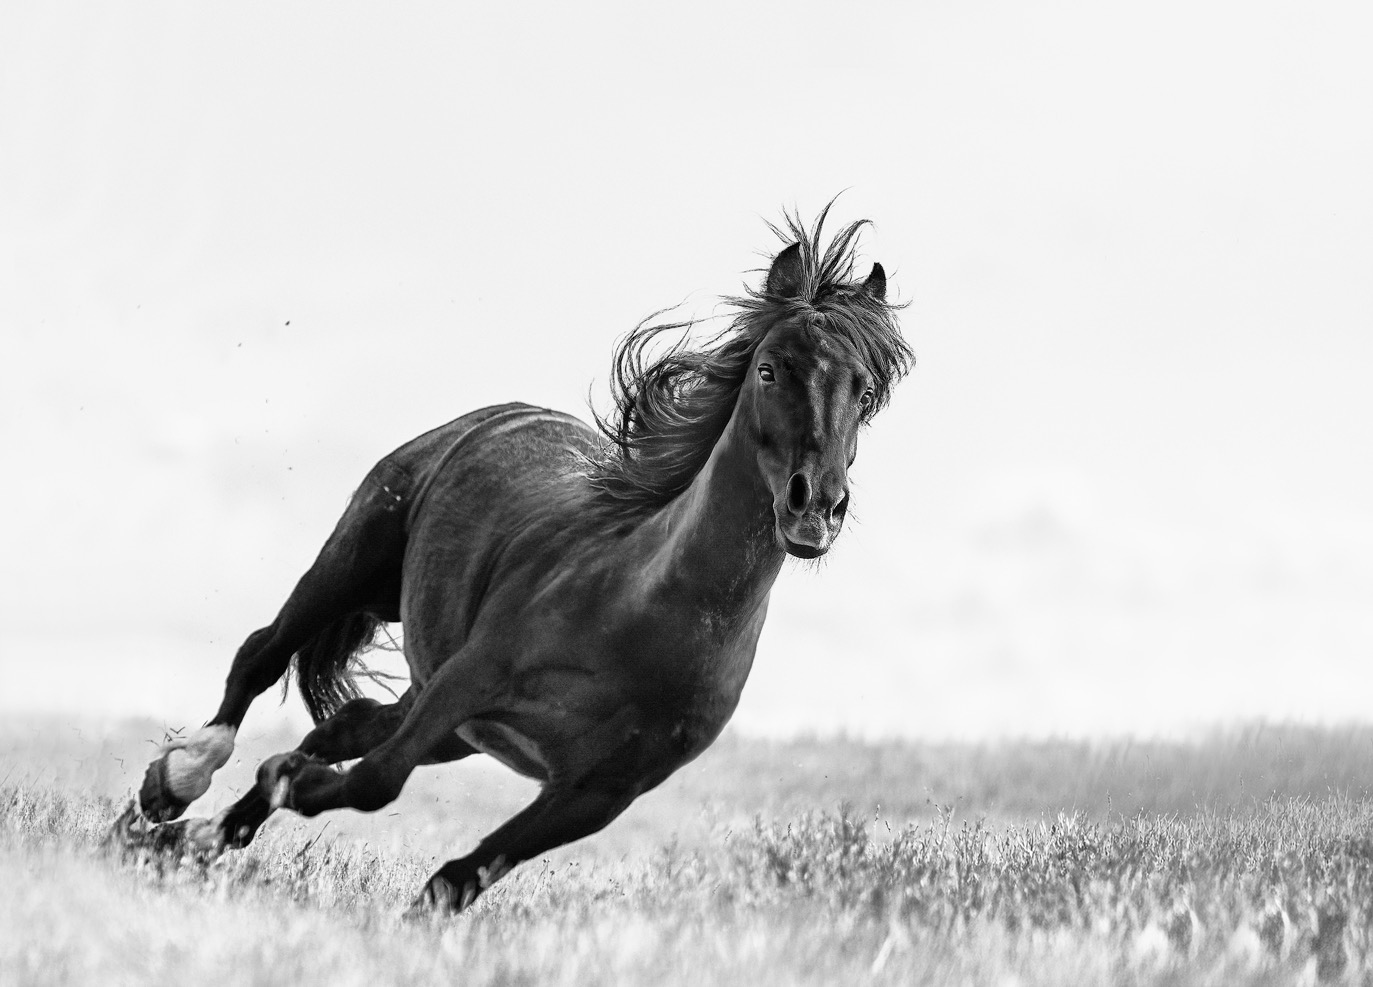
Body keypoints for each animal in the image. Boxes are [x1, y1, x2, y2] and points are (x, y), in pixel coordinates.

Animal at [126, 205, 912, 913]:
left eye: (865, 390)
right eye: (771, 370)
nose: (814, 507)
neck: (649, 611)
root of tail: (498, 414)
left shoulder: (596, 793)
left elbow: (455, 879)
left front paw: (273, 796)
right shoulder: (469, 680)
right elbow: (377, 780)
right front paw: (278, 779)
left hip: (455, 729)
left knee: (348, 721)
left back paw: (190, 835)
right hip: (357, 569)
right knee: (261, 656)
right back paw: (173, 787)